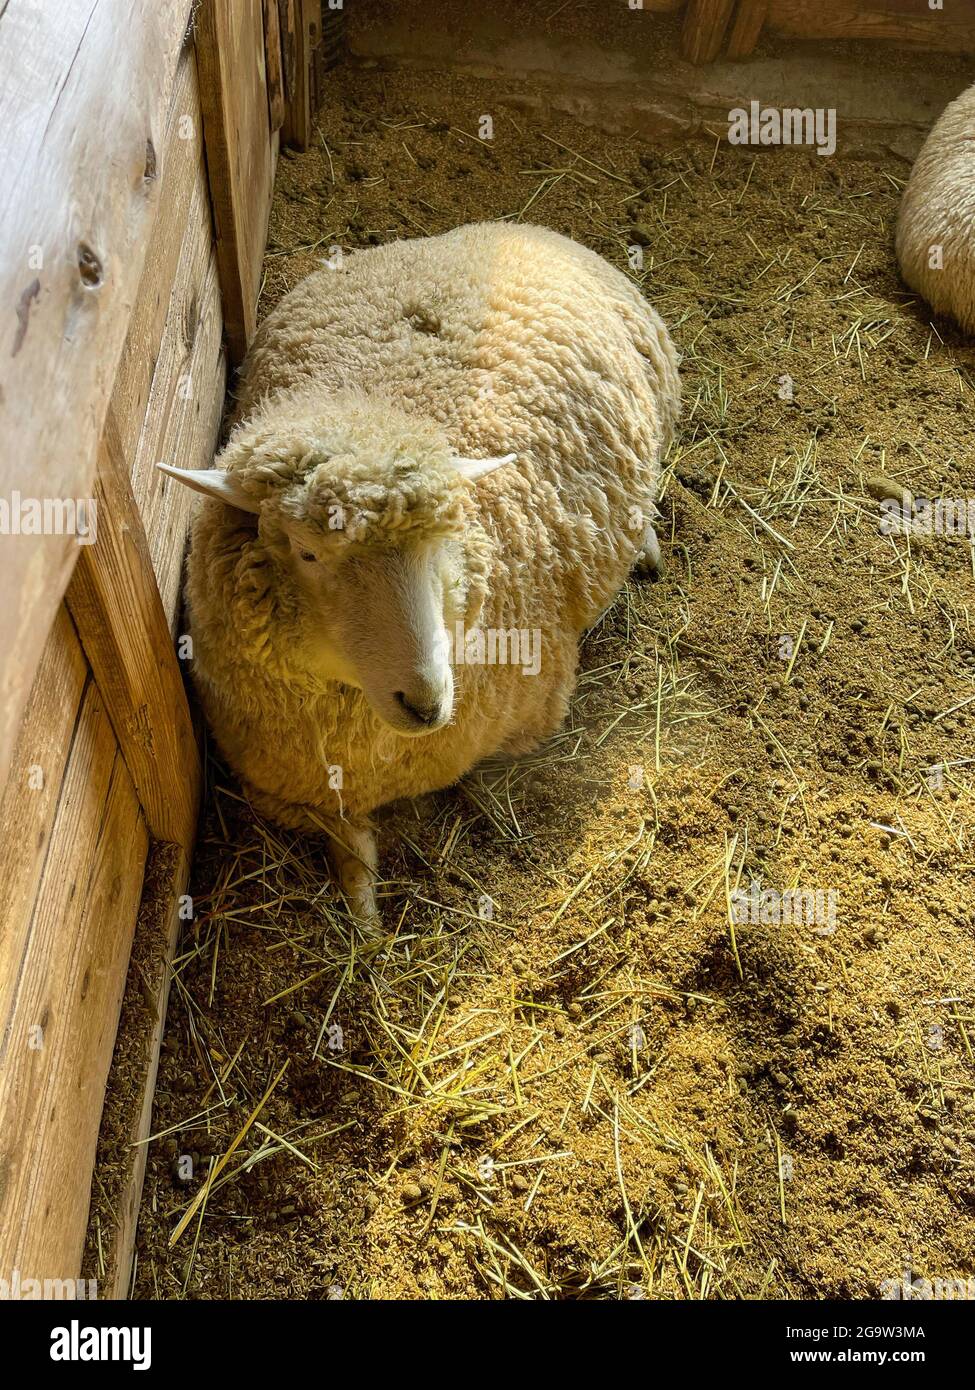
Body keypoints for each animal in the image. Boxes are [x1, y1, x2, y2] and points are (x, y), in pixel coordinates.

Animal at [163, 219, 681, 922]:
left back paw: (647, 543)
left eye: (442, 546)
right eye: (306, 552)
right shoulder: (277, 780)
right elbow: (346, 840)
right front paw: (363, 910)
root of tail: (512, 226)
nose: (427, 700)